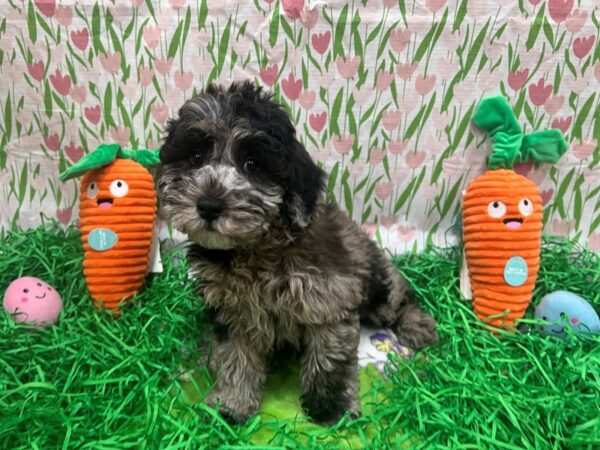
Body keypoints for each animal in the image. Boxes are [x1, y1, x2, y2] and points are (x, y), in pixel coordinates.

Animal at [156, 81, 436, 426]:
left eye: (252, 164)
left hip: (376, 281)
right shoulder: (231, 310)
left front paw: (331, 408)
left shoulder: (329, 297)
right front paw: (232, 403)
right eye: (195, 157)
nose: (208, 206)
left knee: (397, 297)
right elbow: (235, 356)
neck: (254, 248)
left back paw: (416, 324)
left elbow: (330, 358)